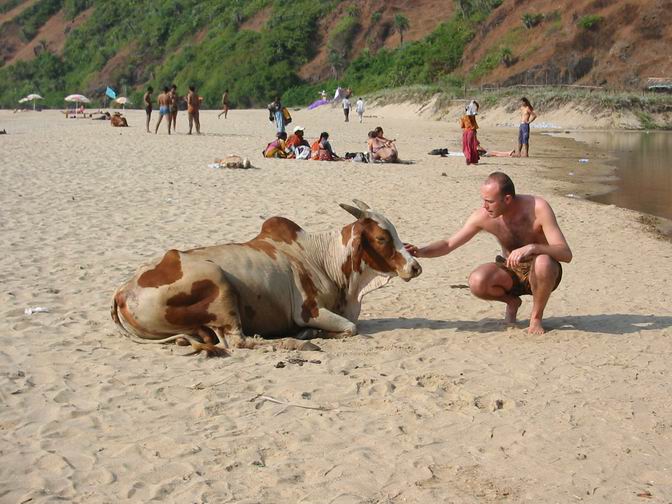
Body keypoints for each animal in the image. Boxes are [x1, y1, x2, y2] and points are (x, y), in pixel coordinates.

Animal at [111, 200, 422, 356]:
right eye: (382, 238)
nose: (415, 267)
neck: (323, 258)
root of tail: (123, 290)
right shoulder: (309, 311)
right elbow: (349, 328)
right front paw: (308, 333)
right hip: (219, 284)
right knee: (238, 342)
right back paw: (298, 343)